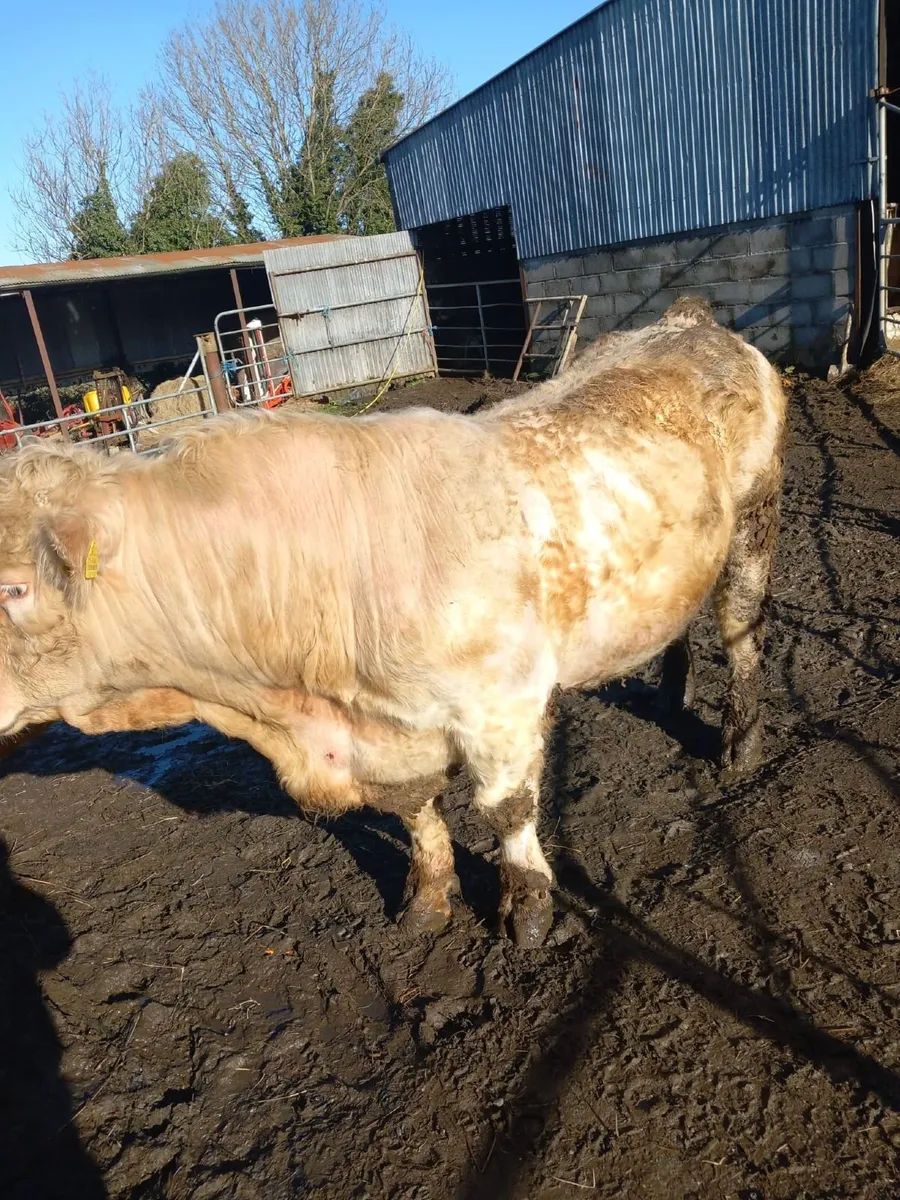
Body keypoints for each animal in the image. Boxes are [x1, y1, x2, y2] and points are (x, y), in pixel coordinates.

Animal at [0, 299, 785, 948]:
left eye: (13, 587)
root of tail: (688, 321)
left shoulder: (501, 703)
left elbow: (507, 809)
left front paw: (527, 910)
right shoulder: (388, 731)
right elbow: (415, 814)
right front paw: (426, 900)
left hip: (755, 525)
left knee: (744, 636)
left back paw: (739, 744)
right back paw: (671, 690)